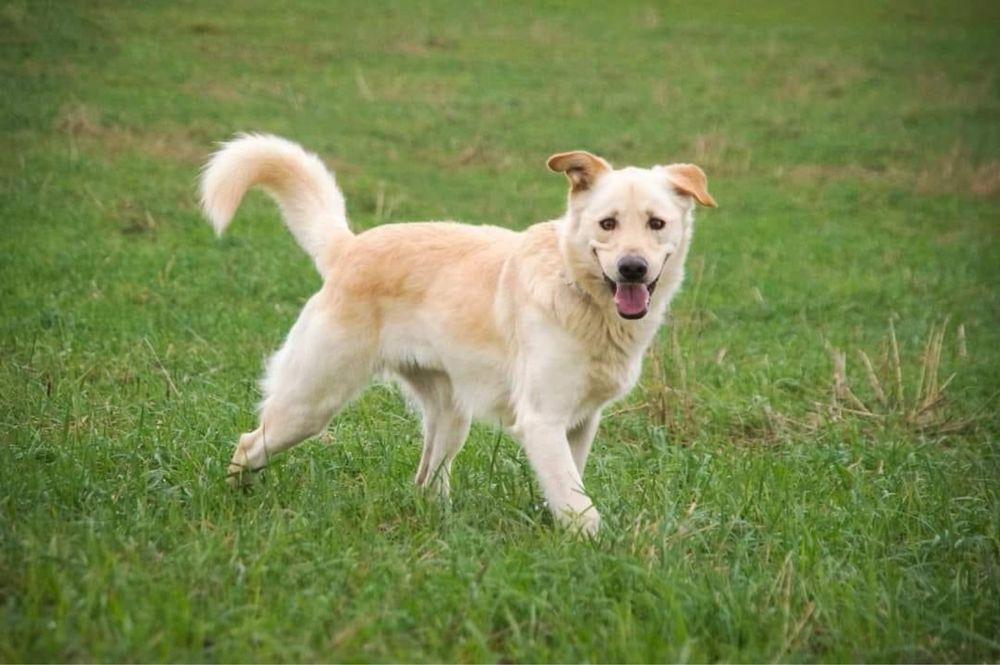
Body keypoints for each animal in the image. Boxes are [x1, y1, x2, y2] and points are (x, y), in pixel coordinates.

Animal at [199, 136, 716, 536]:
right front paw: (597, 550)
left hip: (450, 416)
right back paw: (234, 501)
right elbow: (579, 507)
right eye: (607, 224)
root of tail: (350, 247)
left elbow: (569, 491)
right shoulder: (542, 421)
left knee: (426, 481)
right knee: (248, 443)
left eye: (656, 223)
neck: (579, 291)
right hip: (311, 400)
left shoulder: (581, 423)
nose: (633, 268)